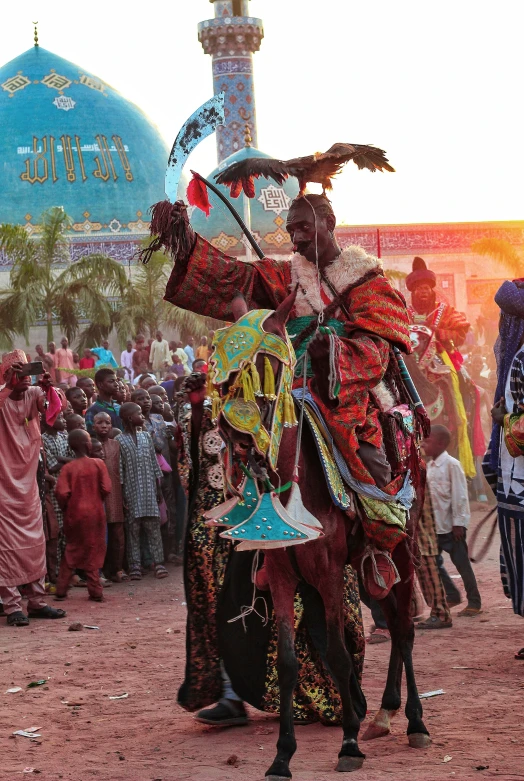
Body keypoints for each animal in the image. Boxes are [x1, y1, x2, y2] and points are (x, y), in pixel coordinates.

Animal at [209, 290, 430, 776]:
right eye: (219, 363)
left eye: (266, 362)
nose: (234, 430)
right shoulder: (281, 573)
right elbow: (290, 661)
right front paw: (282, 755)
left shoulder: (328, 571)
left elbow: (338, 655)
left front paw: (348, 743)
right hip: (362, 566)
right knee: (390, 617)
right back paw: (383, 713)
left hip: (402, 547)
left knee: (404, 628)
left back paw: (413, 721)